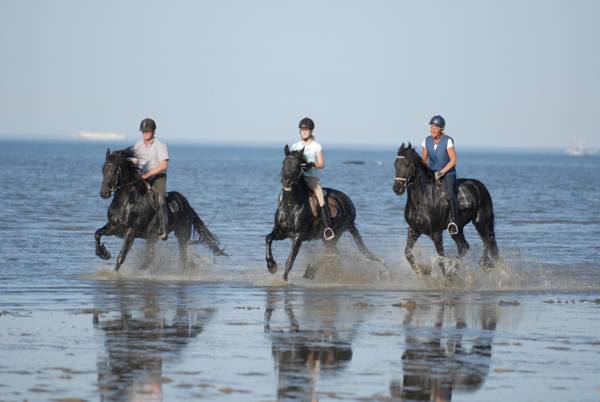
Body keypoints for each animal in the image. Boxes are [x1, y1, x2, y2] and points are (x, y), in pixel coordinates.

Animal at [95, 148, 226, 272]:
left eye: (113, 170)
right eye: (103, 169)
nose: (103, 193)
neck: (126, 202)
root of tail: (186, 204)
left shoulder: (131, 231)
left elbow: (121, 256)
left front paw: (113, 273)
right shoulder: (114, 227)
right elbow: (97, 233)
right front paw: (103, 254)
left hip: (181, 234)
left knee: (182, 256)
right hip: (152, 237)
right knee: (150, 257)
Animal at [265, 145, 380, 281]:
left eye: (298, 165)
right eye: (284, 163)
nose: (287, 182)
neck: (291, 205)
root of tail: (348, 203)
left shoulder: (298, 236)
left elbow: (290, 260)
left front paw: (283, 280)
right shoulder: (281, 232)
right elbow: (268, 238)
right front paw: (272, 266)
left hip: (333, 235)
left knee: (333, 253)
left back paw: (310, 271)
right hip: (328, 238)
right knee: (333, 254)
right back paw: (311, 272)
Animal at [392, 143, 499, 276]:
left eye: (407, 164)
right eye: (395, 164)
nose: (397, 188)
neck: (423, 199)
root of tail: (479, 186)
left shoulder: (436, 233)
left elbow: (441, 259)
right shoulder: (413, 230)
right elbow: (408, 253)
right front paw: (423, 271)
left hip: (481, 223)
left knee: (487, 241)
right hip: (458, 229)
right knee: (464, 247)